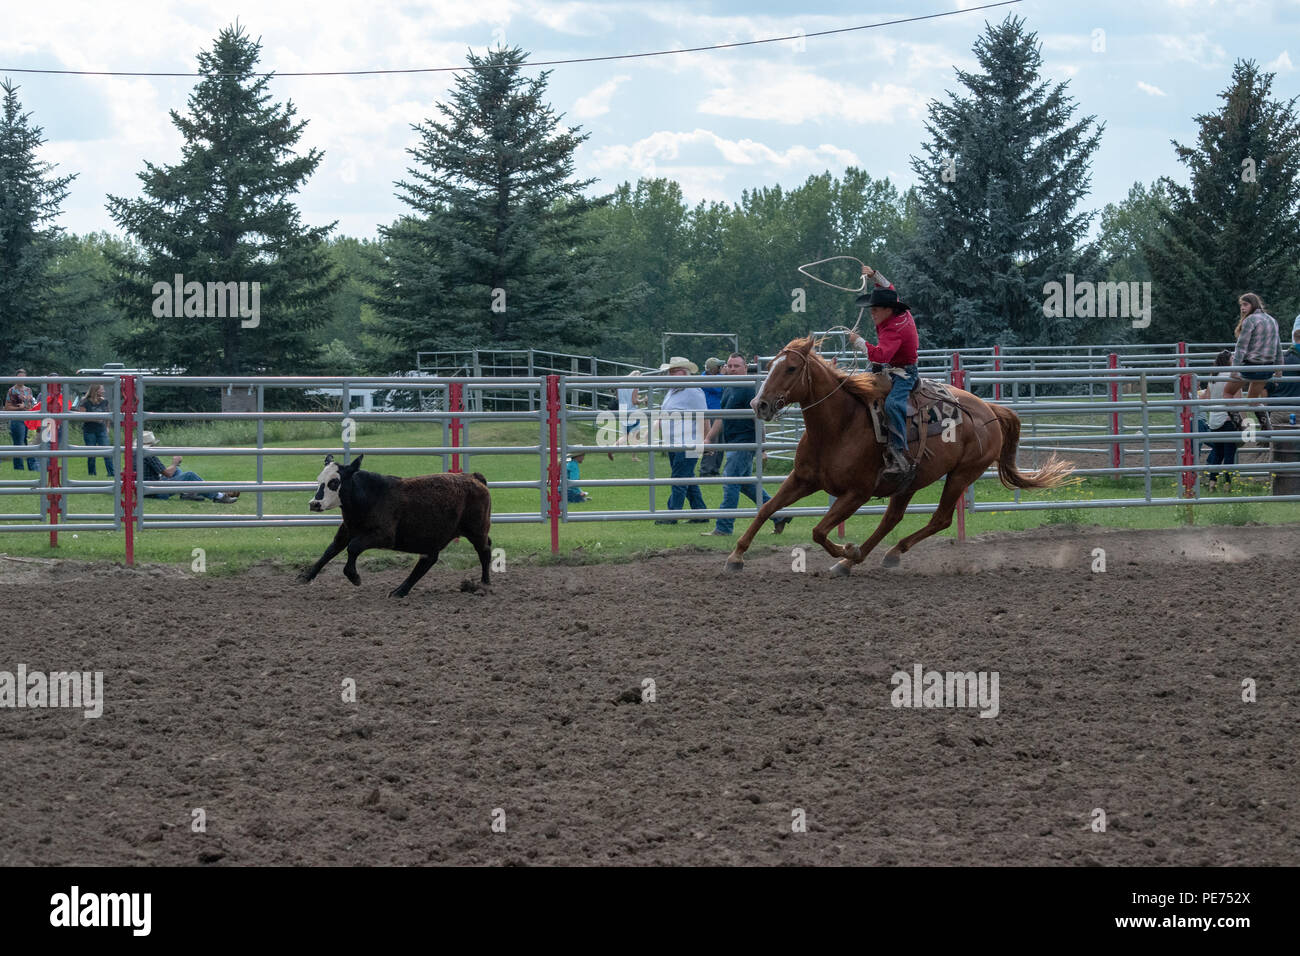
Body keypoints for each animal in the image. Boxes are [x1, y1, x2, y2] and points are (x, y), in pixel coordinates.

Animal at [298, 455, 493, 597]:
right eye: (319, 480)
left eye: (334, 482)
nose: (314, 504)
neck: (371, 497)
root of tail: (474, 478)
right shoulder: (347, 530)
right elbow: (330, 550)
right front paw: (306, 576)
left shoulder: (384, 536)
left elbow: (353, 548)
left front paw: (354, 576)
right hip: (432, 537)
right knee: (428, 559)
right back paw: (400, 590)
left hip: (477, 530)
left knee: (484, 550)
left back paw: (484, 584)